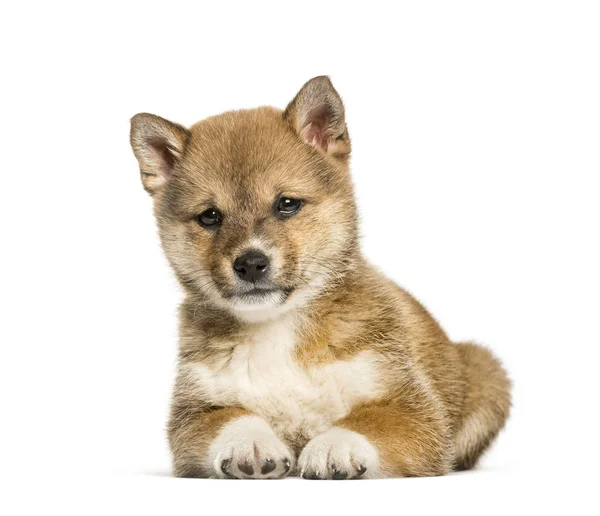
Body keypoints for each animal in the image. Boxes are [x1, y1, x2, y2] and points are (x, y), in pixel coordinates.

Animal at [129, 76, 508, 480]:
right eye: (210, 216)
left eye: (287, 204)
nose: (250, 263)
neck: (277, 326)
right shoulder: (193, 413)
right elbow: (231, 418)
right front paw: (250, 441)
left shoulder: (414, 408)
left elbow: (370, 421)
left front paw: (335, 446)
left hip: (487, 371)